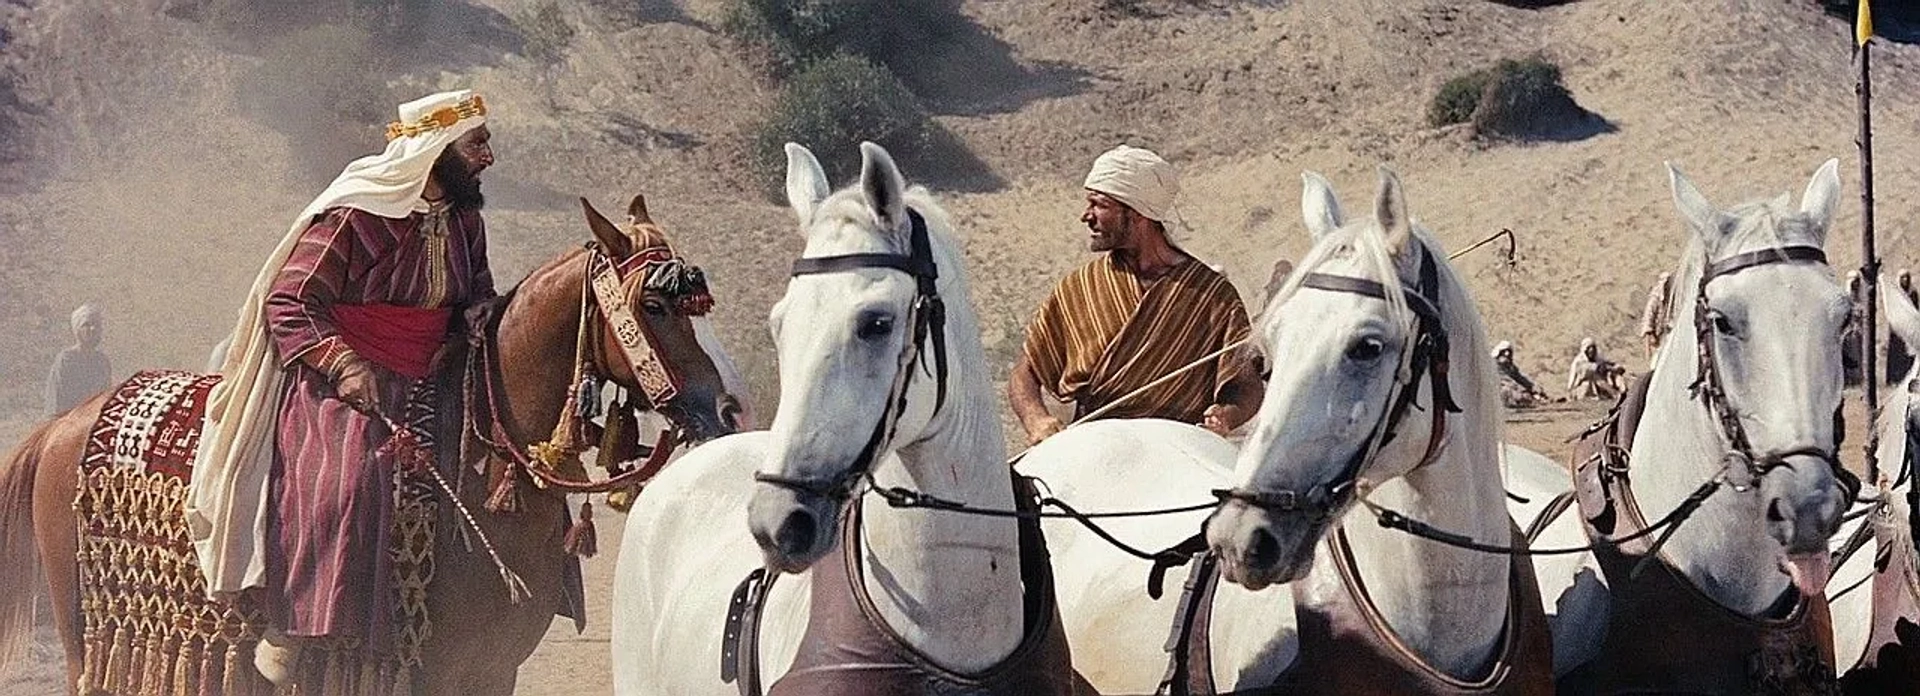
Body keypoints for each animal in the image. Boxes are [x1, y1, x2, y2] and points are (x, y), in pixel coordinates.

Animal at [0, 193, 737, 692]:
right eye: (654, 306)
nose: (725, 406)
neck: (477, 469)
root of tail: (67, 423)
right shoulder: (431, 670)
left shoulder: (493, 669)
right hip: (85, 636)